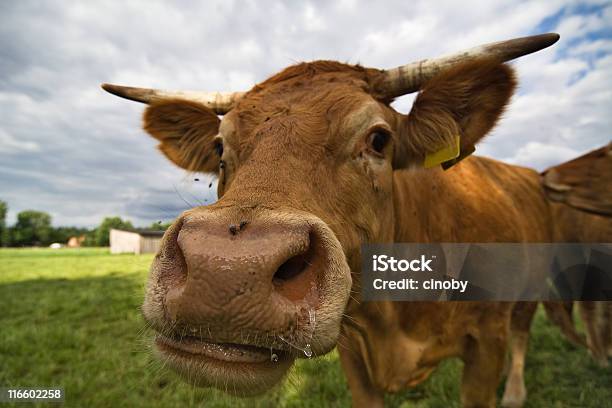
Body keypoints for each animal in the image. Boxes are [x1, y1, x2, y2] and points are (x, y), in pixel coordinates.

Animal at [101, 33, 596, 406]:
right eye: (219, 147)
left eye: (379, 140)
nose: (224, 271)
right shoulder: (355, 357)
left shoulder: (487, 341)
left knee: (523, 335)